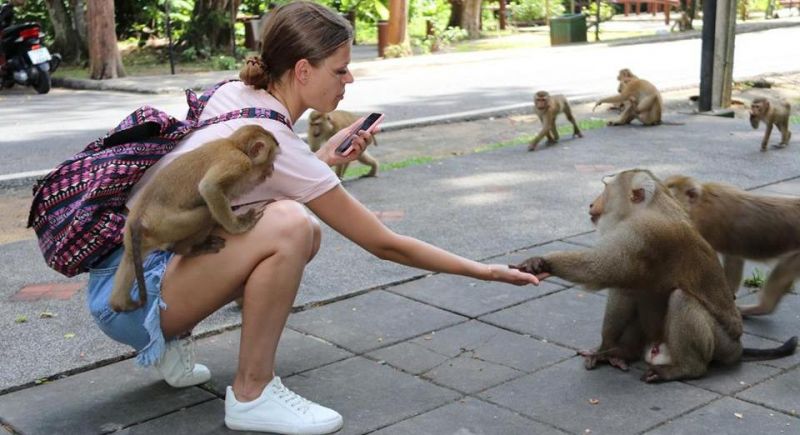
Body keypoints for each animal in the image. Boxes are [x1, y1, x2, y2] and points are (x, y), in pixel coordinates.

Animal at [106, 124, 282, 312]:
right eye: (271, 160)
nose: (272, 170)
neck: (235, 145)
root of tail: (139, 217)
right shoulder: (239, 162)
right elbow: (209, 188)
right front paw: (239, 226)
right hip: (166, 225)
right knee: (207, 214)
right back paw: (187, 249)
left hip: (132, 234)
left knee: (129, 257)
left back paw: (120, 303)